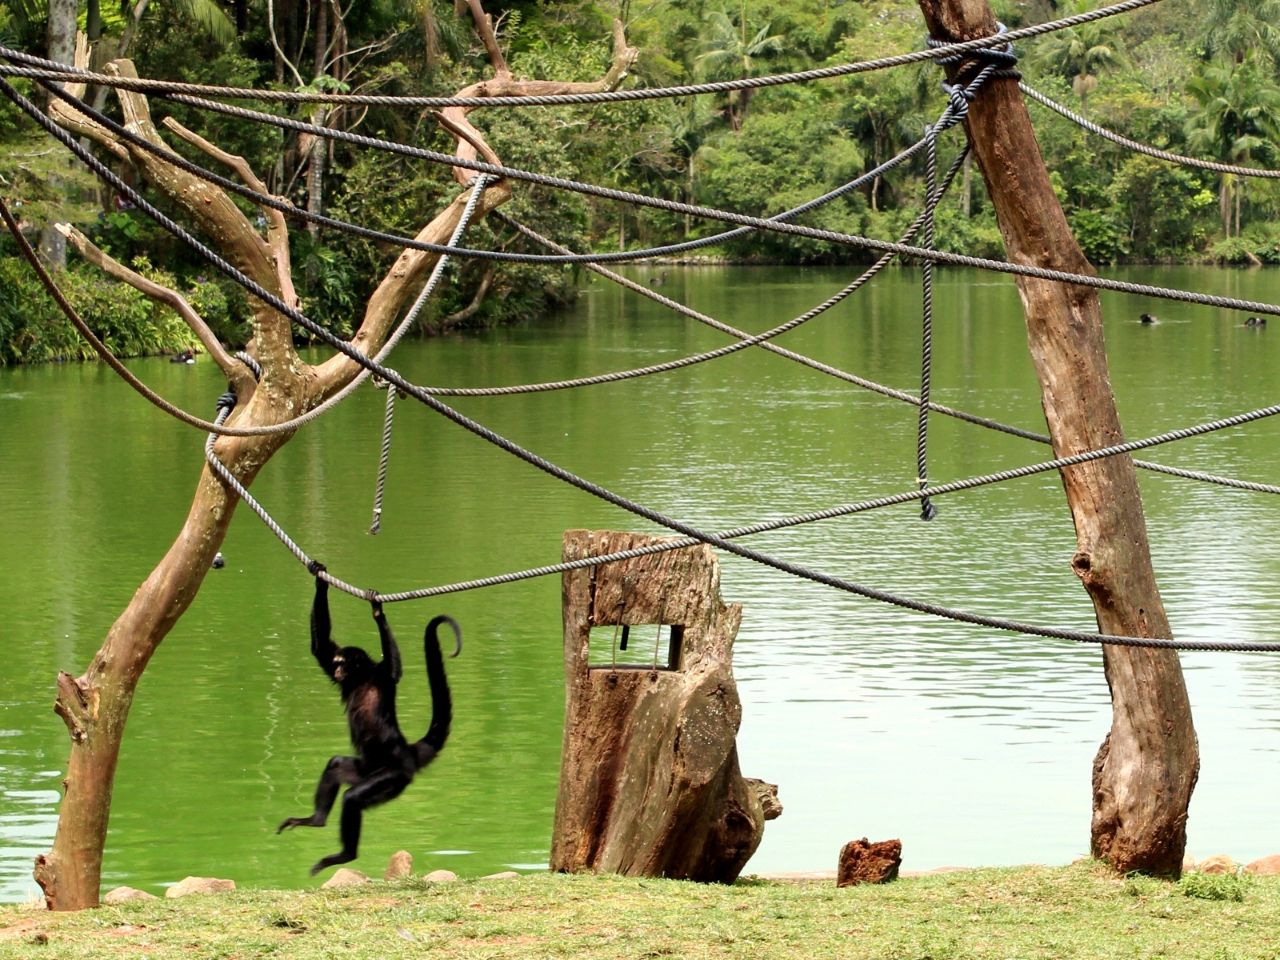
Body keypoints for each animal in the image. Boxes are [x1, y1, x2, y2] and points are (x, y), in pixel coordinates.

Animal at [277, 563, 463, 880]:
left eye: (343, 664)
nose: (338, 671)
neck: (362, 678)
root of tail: (407, 751)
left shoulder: (382, 675)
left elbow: (395, 667)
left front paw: (377, 611)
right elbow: (320, 648)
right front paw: (319, 576)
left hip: (392, 777)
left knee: (353, 797)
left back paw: (345, 854)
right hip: (364, 769)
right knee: (337, 765)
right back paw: (317, 820)